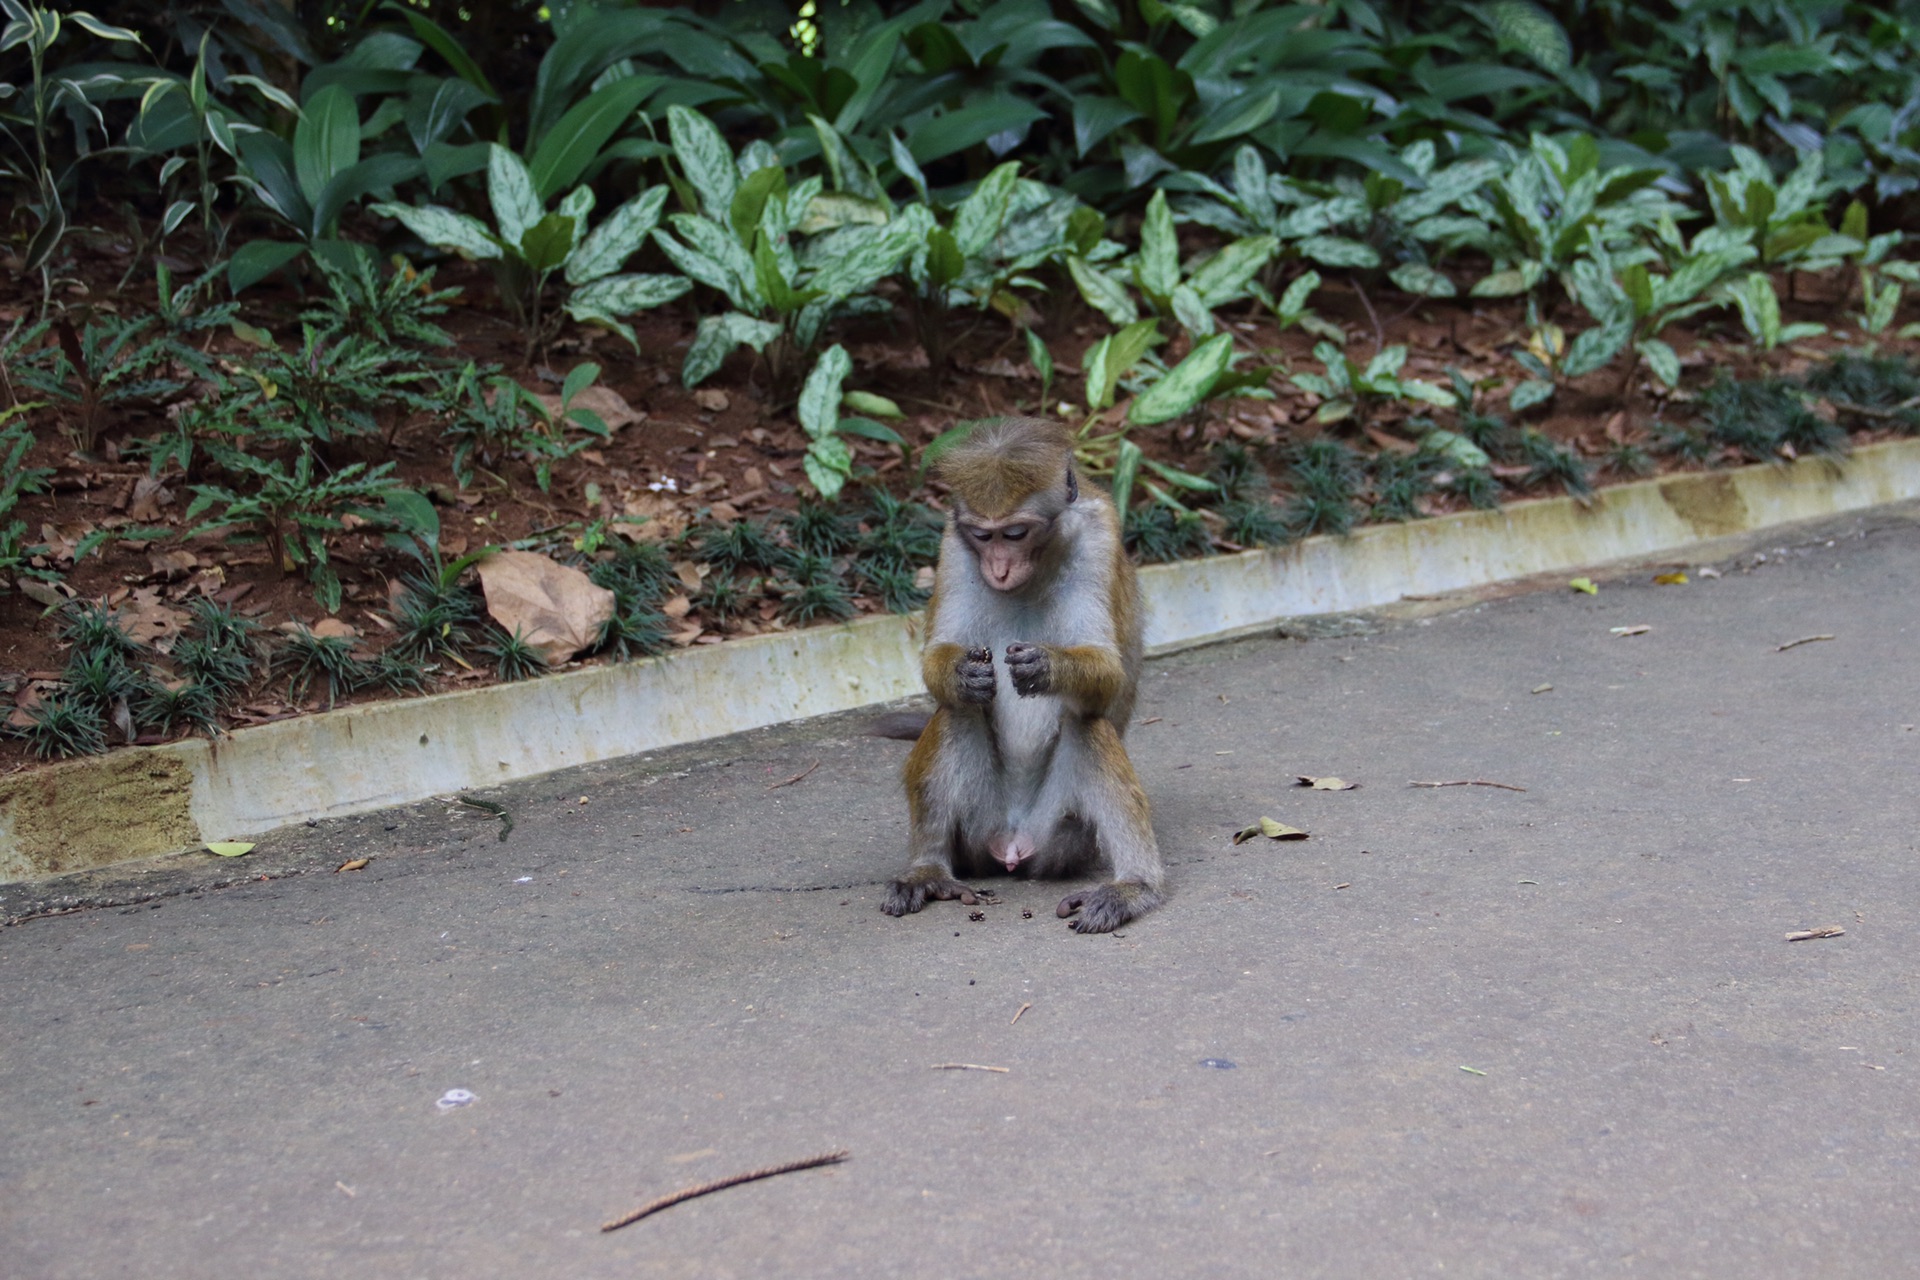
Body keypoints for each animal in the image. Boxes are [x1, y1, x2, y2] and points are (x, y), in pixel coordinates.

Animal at [879, 418, 1159, 932]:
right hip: (976, 830)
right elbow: (940, 658)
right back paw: (927, 871)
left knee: (1088, 725)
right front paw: (961, 673)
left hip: (1063, 836)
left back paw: (1133, 887)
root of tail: (1012, 842)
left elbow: (1108, 671)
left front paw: (1048, 667)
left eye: (1014, 533)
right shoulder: (954, 545)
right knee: (956, 712)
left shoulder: (1099, 537)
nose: (999, 568)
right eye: (982, 536)